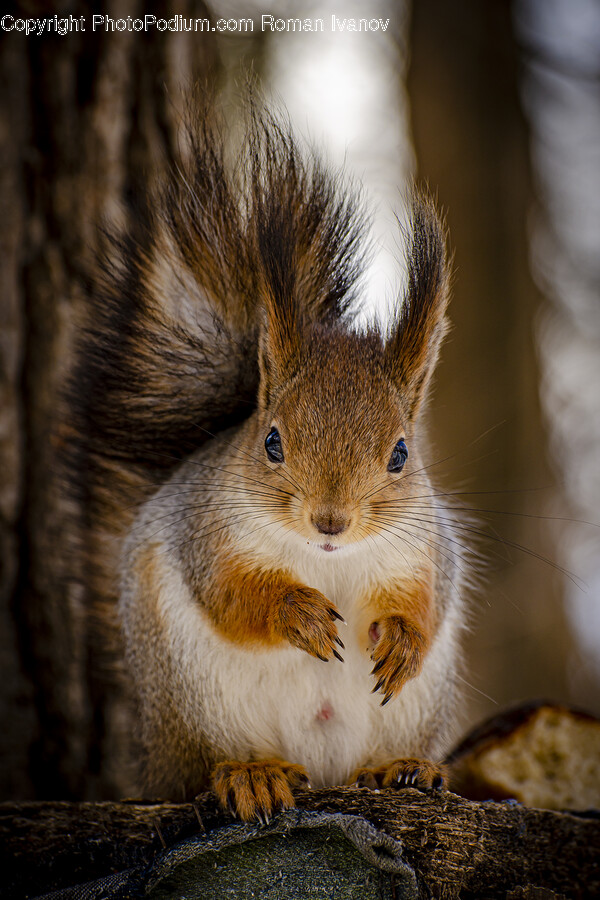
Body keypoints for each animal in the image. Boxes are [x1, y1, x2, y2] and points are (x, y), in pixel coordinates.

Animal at [69, 96, 465, 822]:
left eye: (400, 453)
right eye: (272, 442)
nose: (330, 521)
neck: (325, 561)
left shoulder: (422, 549)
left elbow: (426, 599)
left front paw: (402, 641)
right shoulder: (206, 532)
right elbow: (231, 594)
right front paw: (296, 614)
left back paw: (400, 769)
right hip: (197, 708)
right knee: (210, 766)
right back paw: (252, 776)